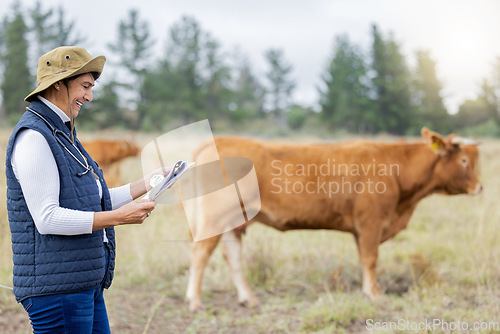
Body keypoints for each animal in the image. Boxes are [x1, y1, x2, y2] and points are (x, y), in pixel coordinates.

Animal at [186, 127, 482, 310]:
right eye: (464, 160)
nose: (480, 187)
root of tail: (217, 140)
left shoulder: (362, 228)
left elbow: (364, 259)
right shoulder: (370, 221)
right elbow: (371, 259)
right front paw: (374, 293)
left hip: (234, 220)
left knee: (232, 256)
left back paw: (249, 299)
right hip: (214, 217)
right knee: (201, 253)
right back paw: (195, 301)